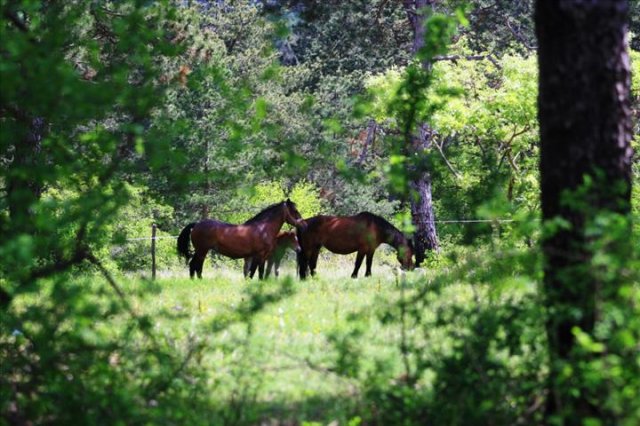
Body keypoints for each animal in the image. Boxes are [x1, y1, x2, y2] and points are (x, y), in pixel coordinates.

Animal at [177, 199, 306, 279]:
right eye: (295, 211)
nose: (304, 225)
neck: (263, 228)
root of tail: (197, 224)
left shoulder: (263, 257)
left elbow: (260, 272)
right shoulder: (258, 255)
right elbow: (253, 272)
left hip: (201, 251)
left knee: (194, 266)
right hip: (202, 251)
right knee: (196, 266)